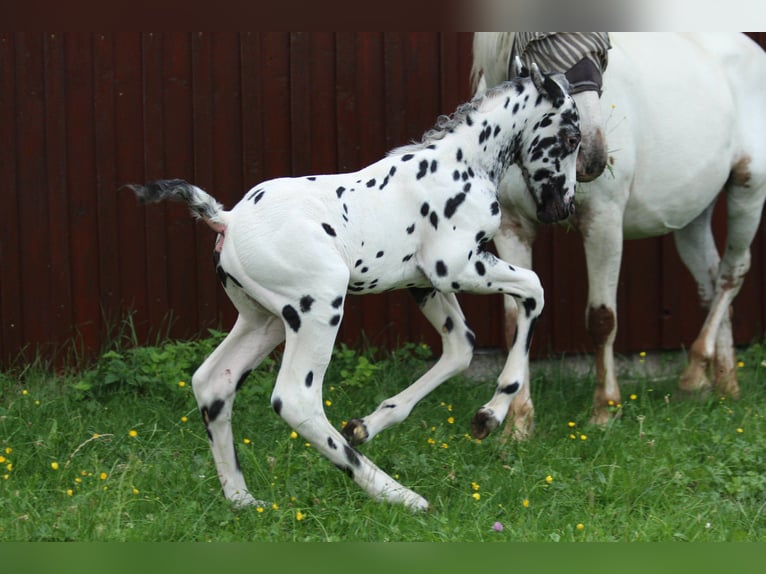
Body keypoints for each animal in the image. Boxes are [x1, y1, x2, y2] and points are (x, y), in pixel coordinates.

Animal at [474, 32, 766, 436]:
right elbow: (517, 323)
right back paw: (725, 385)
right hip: (692, 215)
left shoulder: (604, 222)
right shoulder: (512, 228)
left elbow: (602, 319)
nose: (590, 155)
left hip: (749, 190)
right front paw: (516, 426)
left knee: (731, 276)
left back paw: (694, 373)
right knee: (711, 281)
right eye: (539, 43)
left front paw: (605, 411)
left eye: (603, 46)